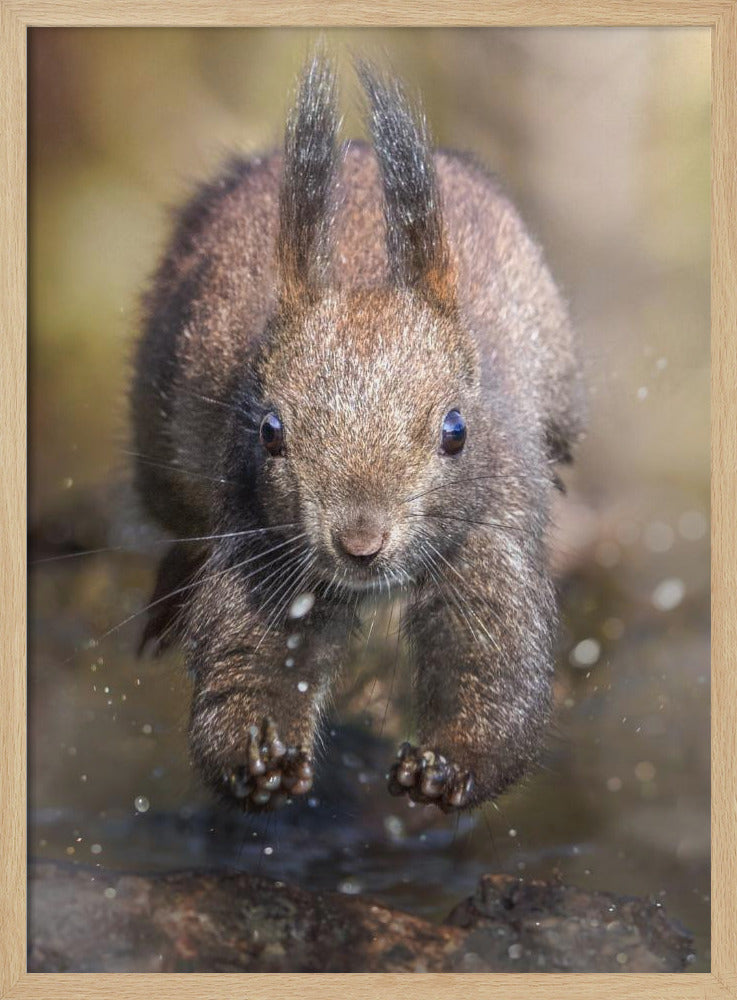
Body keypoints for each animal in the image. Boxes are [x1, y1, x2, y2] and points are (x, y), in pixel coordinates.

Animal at [130, 53, 584, 813]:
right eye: (270, 431)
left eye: (455, 431)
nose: (360, 543)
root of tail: (358, 151)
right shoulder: (260, 540)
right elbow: (250, 655)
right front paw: (258, 759)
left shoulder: (491, 527)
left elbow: (495, 663)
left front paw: (446, 765)